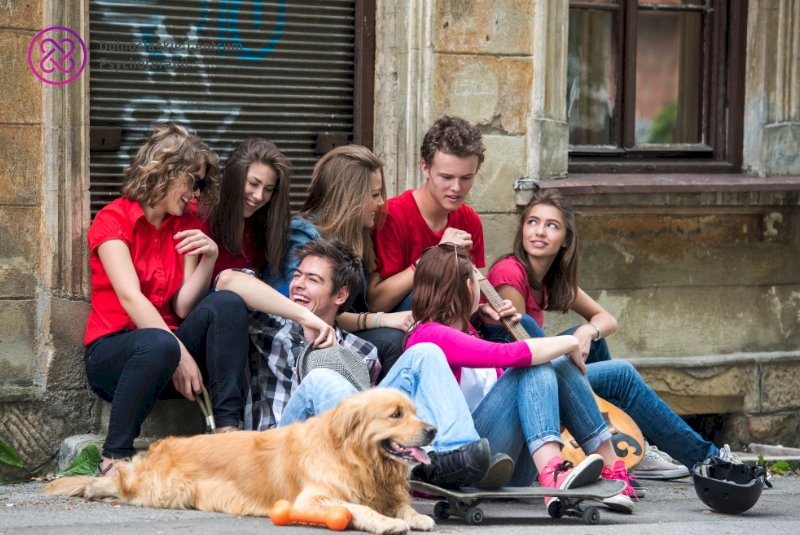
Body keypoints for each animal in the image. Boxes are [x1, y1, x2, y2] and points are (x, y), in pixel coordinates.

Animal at [43, 389, 438, 534]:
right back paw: (89, 487)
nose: (433, 430)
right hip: (164, 490)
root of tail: (161, 445)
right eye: (395, 414)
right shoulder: (310, 499)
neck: (358, 459)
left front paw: (415, 515)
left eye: (415, 411)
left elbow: (399, 504)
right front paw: (386, 522)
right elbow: (356, 506)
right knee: (119, 480)